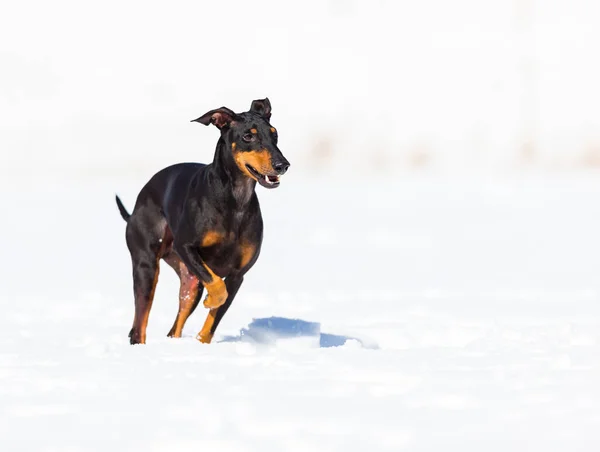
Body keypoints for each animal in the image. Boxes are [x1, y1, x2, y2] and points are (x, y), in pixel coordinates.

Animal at [115, 99, 290, 344]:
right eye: (248, 136)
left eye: (275, 135)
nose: (282, 165)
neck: (234, 200)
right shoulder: (186, 247)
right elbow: (217, 288)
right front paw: (211, 300)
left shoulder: (238, 275)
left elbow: (215, 316)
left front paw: (202, 341)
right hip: (147, 265)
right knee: (139, 323)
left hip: (189, 279)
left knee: (176, 324)